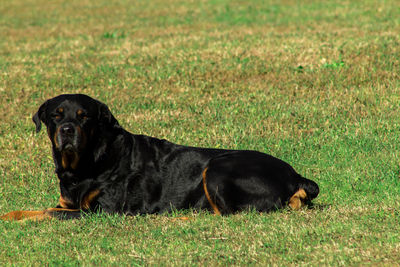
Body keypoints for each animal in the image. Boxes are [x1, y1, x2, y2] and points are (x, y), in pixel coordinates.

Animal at [0, 94, 318, 222]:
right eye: (56, 116)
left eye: (84, 116)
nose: (67, 129)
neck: (89, 160)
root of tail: (295, 175)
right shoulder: (68, 202)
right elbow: (37, 209)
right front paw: (9, 216)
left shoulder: (102, 211)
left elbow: (49, 213)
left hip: (218, 167)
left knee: (227, 214)